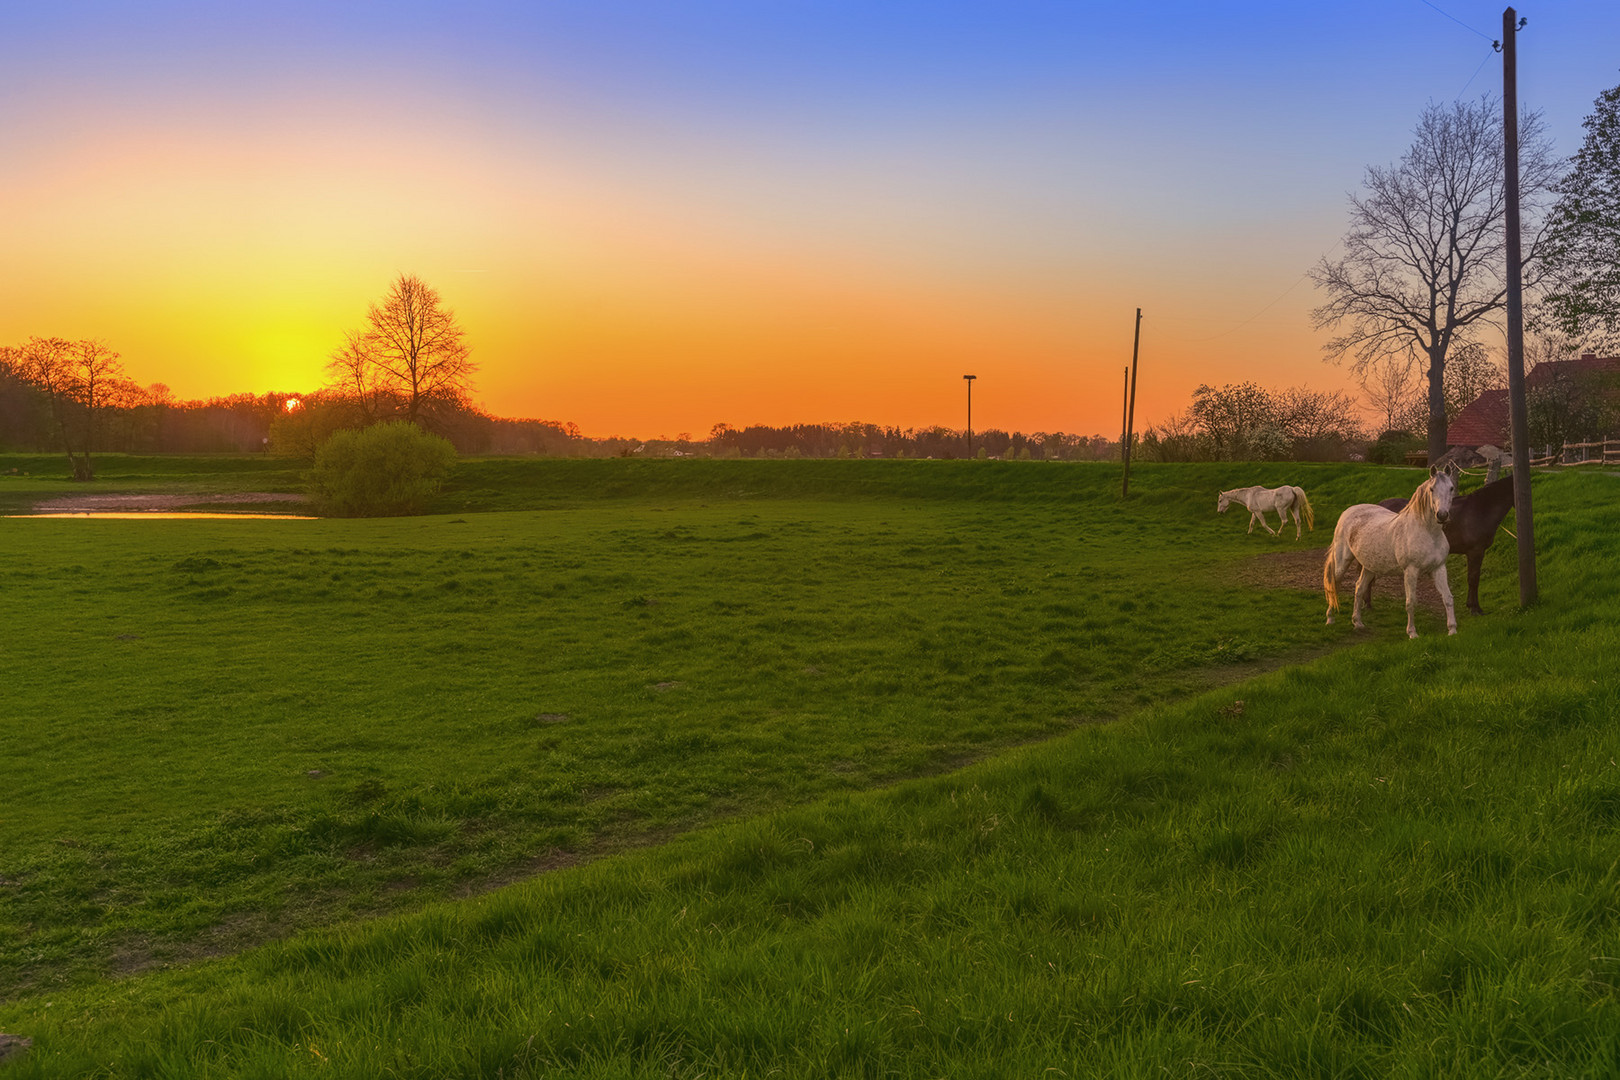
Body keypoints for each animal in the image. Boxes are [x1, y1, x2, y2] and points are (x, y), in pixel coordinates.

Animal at [1328, 469, 1458, 637]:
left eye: (1451, 488)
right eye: (1431, 489)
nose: (1442, 515)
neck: (1428, 533)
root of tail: (1347, 512)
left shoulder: (1439, 568)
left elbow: (1447, 597)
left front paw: (1452, 630)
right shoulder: (1411, 571)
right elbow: (1411, 602)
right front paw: (1412, 633)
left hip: (1369, 566)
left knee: (1359, 588)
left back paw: (1358, 623)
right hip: (1342, 562)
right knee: (1334, 585)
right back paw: (1330, 618)